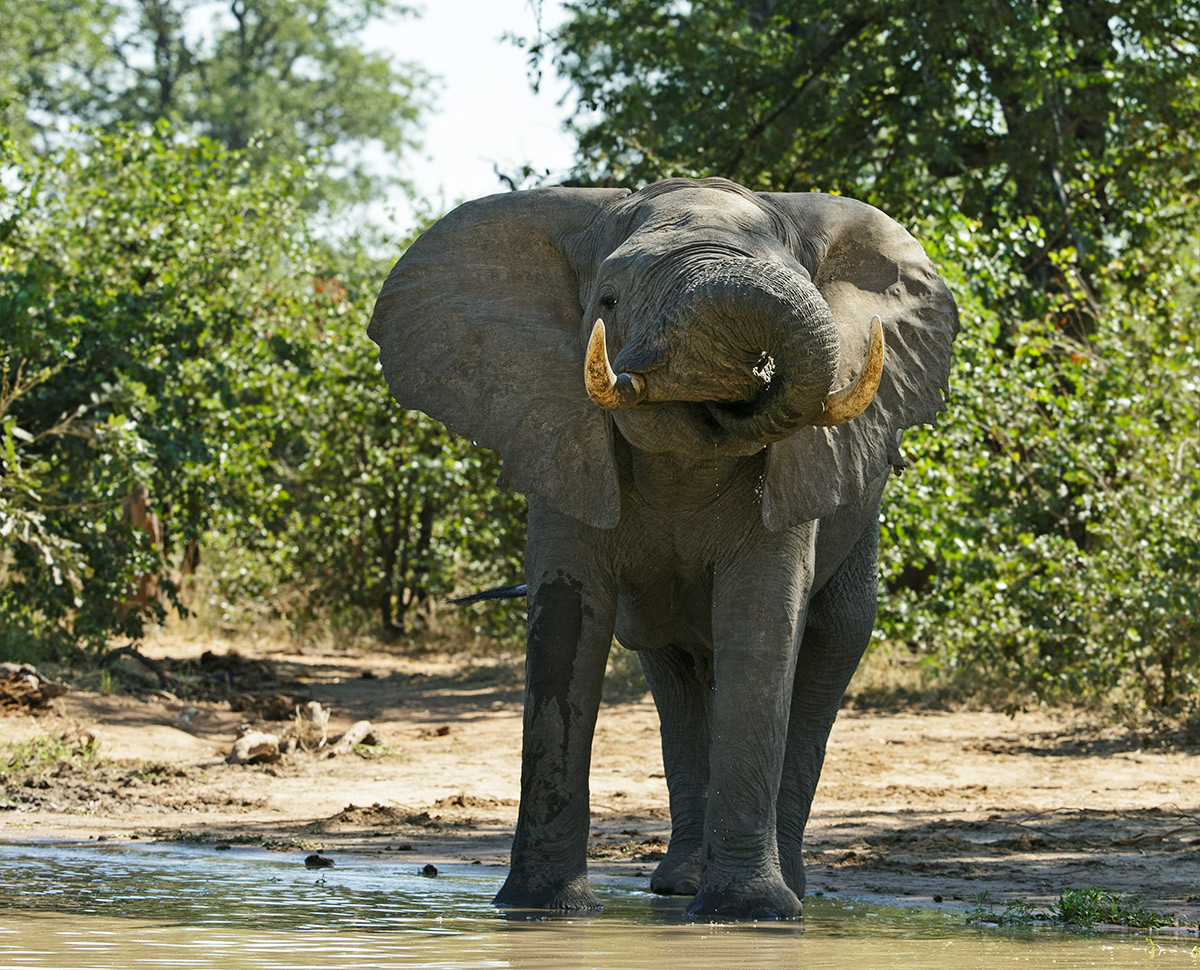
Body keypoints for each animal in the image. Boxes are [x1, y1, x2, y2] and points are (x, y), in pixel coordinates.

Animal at [368, 177, 958, 919]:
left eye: (809, 286)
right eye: (608, 302)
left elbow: (761, 623)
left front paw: (748, 915)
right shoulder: (562, 431)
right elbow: (566, 624)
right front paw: (536, 912)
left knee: (828, 651)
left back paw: (781, 892)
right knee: (674, 675)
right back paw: (678, 885)